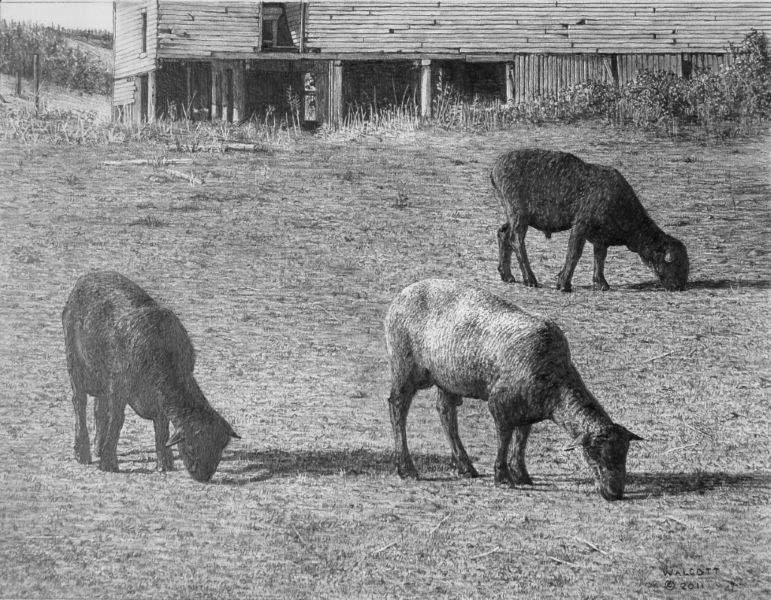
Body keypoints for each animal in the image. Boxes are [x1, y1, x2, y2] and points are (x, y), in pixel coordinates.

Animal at [62, 270, 240, 482]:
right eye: (191, 445)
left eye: (221, 449)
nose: (204, 476)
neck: (161, 351)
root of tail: (88, 276)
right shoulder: (118, 387)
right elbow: (117, 420)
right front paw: (108, 464)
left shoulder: (155, 398)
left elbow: (162, 428)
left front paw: (165, 463)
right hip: (75, 362)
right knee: (79, 403)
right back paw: (83, 453)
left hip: (102, 376)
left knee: (99, 409)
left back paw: (98, 447)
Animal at [384, 278, 643, 501]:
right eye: (595, 453)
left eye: (625, 454)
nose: (615, 493)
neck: (556, 379)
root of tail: (402, 294)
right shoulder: (500, 403)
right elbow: (505, 437)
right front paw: (502, 476)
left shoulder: (528, 407)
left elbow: (522, 438)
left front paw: (521, 474)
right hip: (405, 368)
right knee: (398, 407)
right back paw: (406, 468)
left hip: (447, 377)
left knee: (446, 413)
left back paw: (465, 466)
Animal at [491, 148, 689, 292]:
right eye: (675, 263)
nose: (680, 286)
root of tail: (495, 168)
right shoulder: (581, 226)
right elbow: (574, 254)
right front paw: (564, 285)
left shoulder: (600, 238)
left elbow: (599, 258)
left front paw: (601, 283)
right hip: (519, 216)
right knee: (516, 240)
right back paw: (530, 279)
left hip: (514, 216)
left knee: (503, 233)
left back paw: (507, 276)